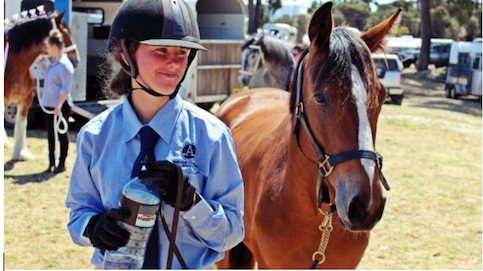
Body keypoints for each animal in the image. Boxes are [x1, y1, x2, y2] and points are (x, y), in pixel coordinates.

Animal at [4, 11, 79, 162]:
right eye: (65, 34)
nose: (76, 60)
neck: (14, 65)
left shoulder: (26, 100)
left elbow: (22, 124)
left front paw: (21, 153)